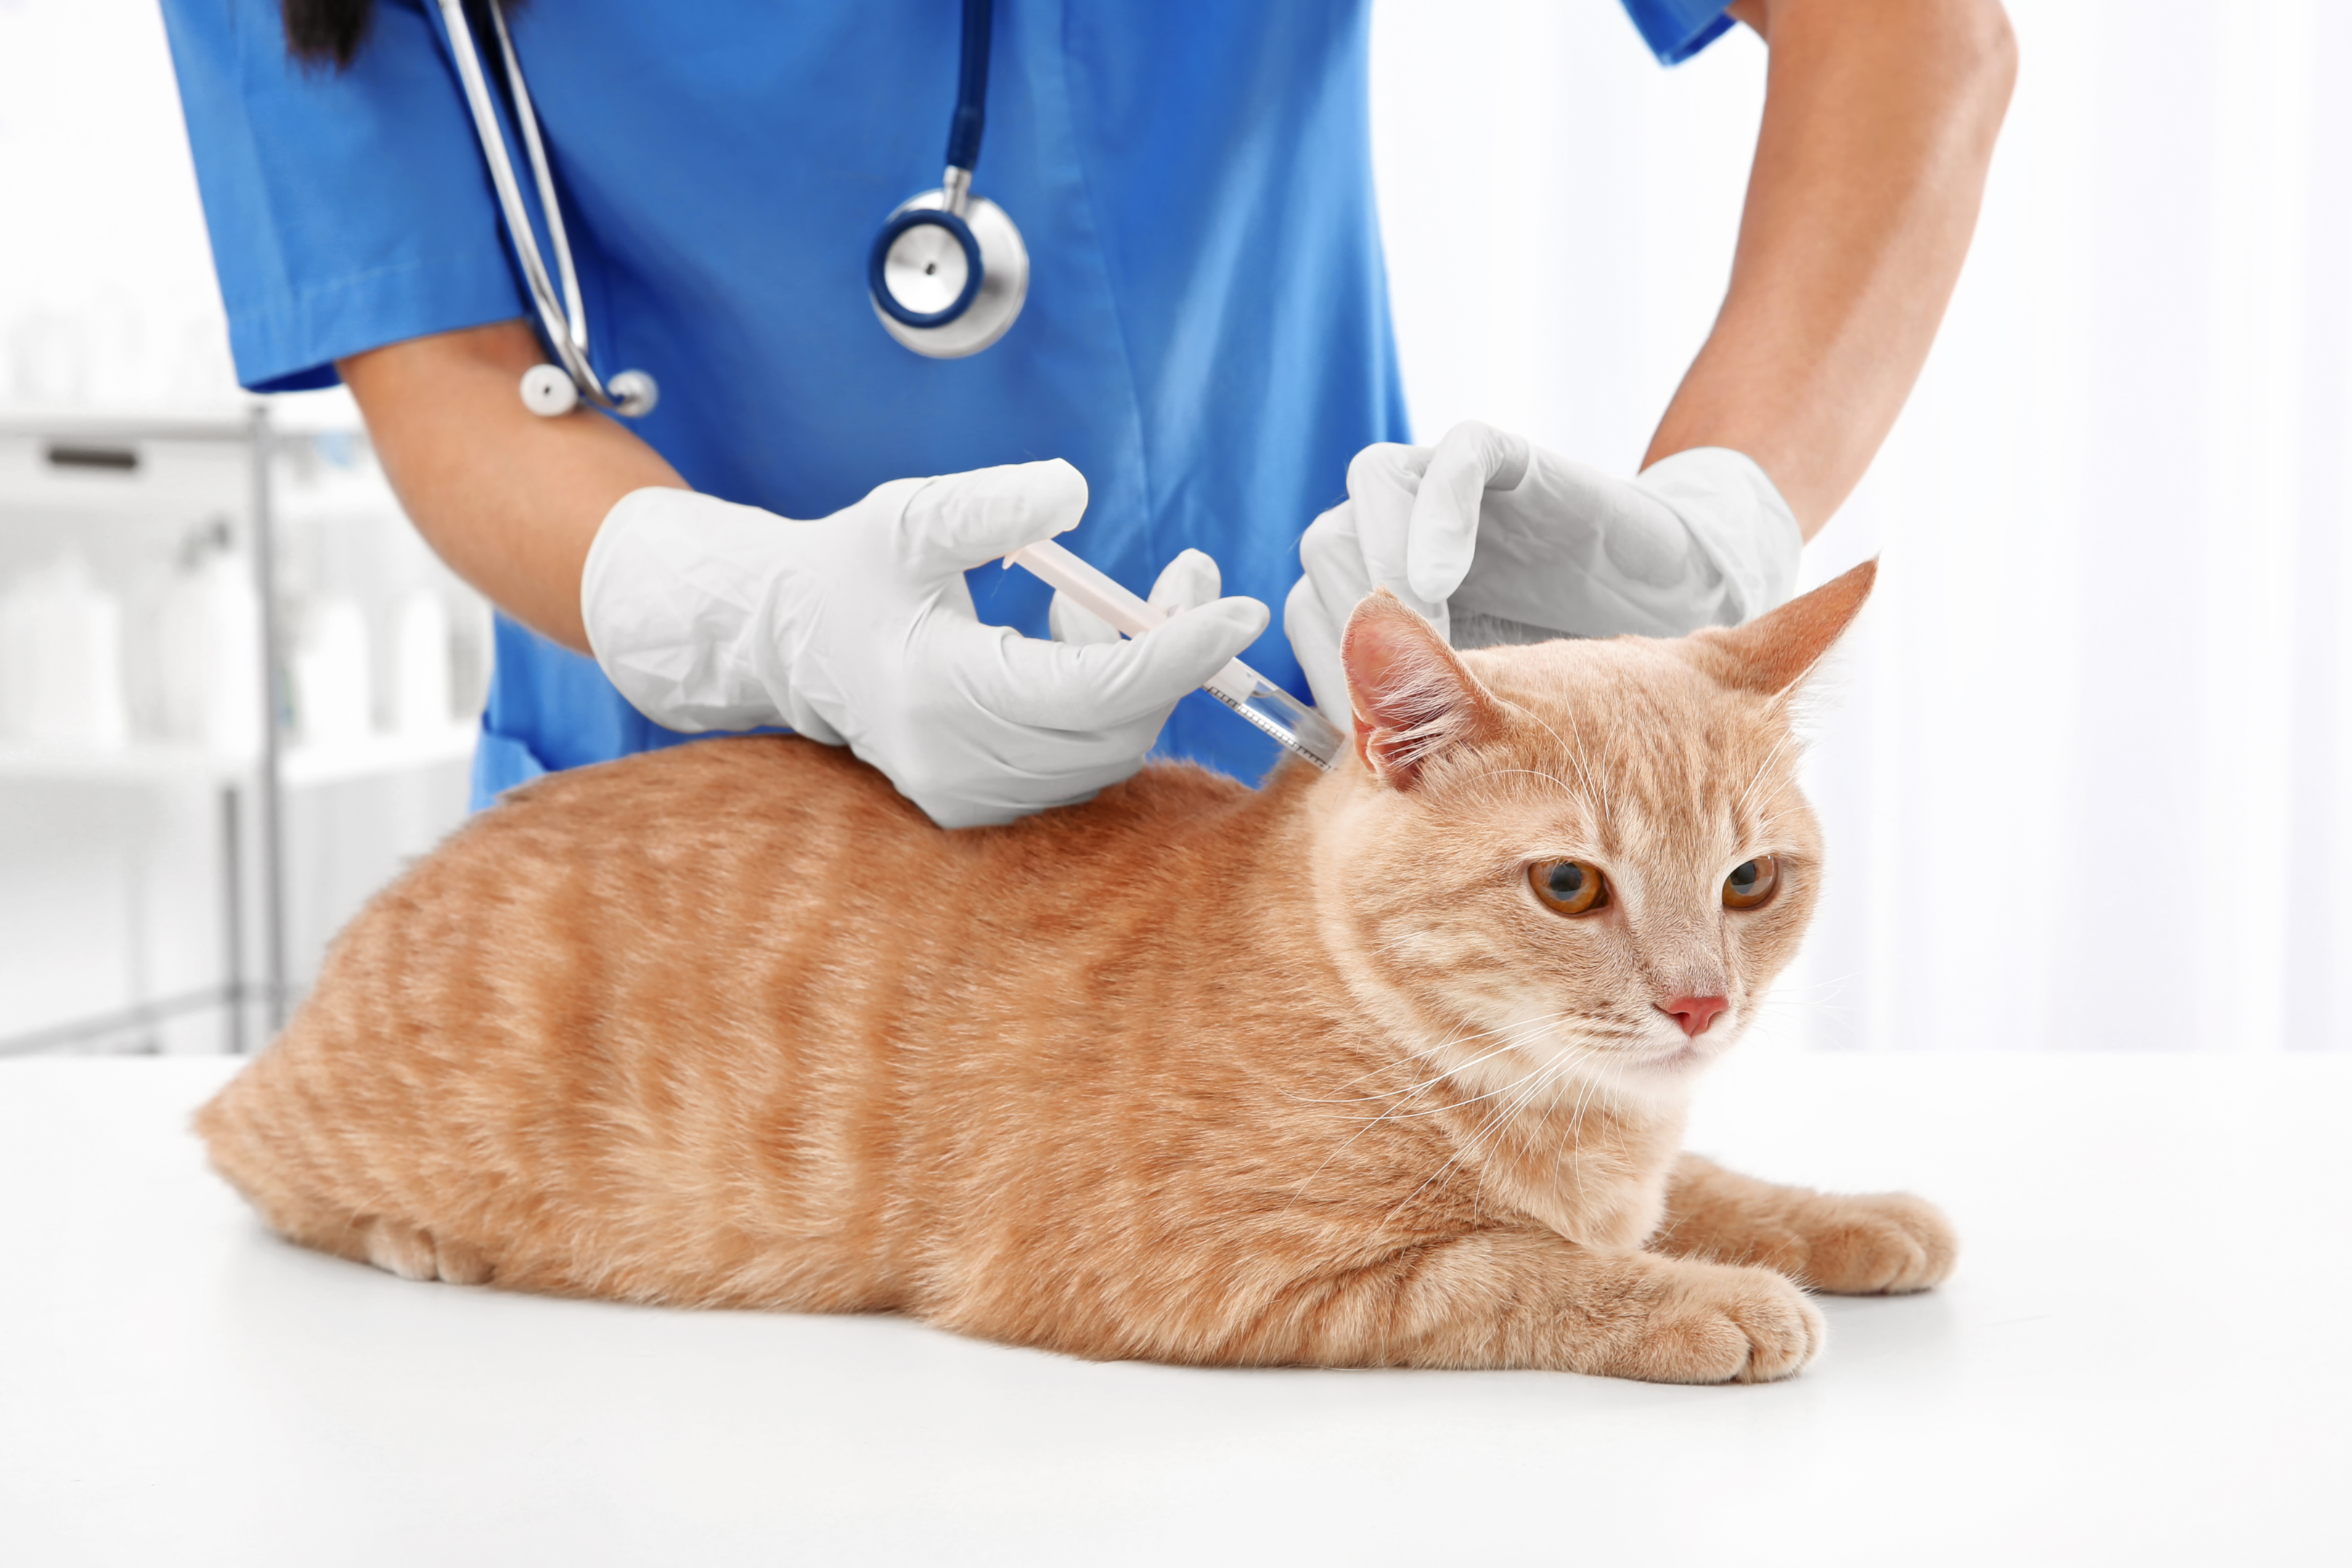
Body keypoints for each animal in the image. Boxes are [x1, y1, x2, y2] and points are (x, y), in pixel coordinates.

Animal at [197, 564, 1947, 1382]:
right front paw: (1712, 1302)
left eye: (1749, 883)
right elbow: (1509, 1270)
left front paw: (1843, 1217)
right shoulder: (1199, 1275)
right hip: (323, 1133)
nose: (1701, 1003)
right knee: (247, 1158)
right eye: (1571, 886)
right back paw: (417, 1239)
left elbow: (1702, 1187)